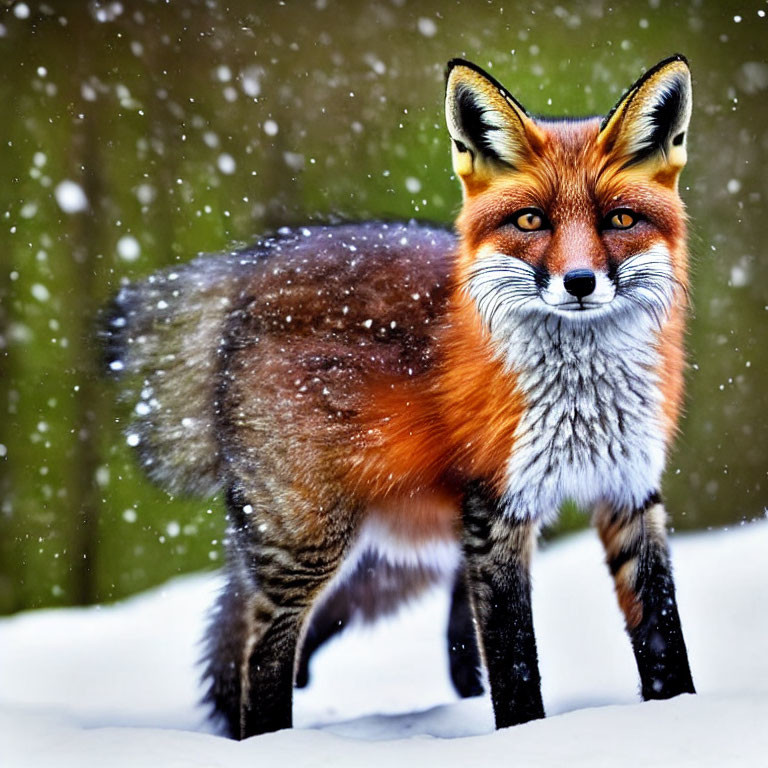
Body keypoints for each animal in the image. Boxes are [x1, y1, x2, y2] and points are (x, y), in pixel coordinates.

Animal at [106, 55, 696, 736]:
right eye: (531, 220)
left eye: (619, 219)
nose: (579, 282)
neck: (583, 394)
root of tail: (250, 270)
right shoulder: (496, 513)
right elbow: (515, 660)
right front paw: (526, 739)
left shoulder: (630, 489)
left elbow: (663, 637)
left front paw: (678, 716)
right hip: (314, 545)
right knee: (263, 651)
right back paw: (268, 742)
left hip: (392, 563)